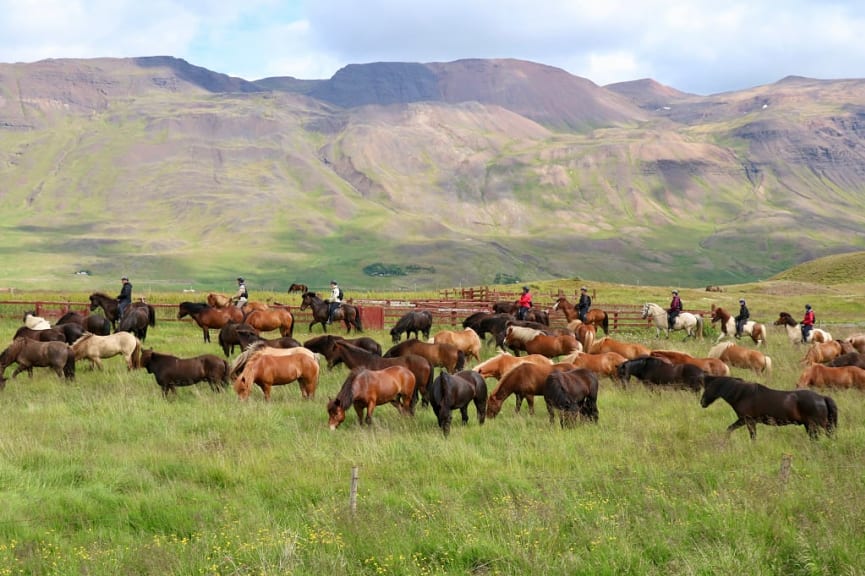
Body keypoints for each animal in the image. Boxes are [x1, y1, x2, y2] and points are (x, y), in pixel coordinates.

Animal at [704, 374, 836, 440]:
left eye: (707, 387)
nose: (702, 402)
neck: (742, 394)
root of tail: (822, 397)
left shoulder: (747, 420)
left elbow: (744, 434)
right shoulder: (748, 421)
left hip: (817, 424)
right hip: (810, 425)